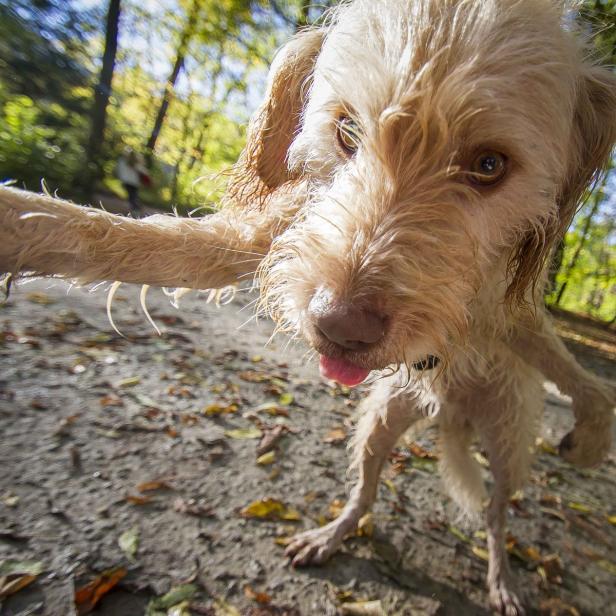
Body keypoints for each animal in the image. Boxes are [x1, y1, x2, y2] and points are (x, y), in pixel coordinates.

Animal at [1, 1, 616, 612]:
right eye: (346, 129)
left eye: (490, 165)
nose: (339, 328)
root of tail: (452, 414)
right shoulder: (271, 238)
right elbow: (115, 239)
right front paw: (24, 224)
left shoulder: (512, 316)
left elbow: (577, 374)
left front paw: (592, 433)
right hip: (381, 423)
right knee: (365, 492)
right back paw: (333, 535)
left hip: (509, 443)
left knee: (494, 514)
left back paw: (502, 577)